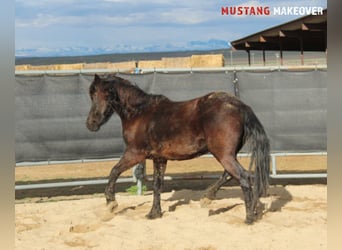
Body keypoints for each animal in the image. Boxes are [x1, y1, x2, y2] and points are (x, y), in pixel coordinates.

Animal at [85, 73, 270, 224]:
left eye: (95, 94)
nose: (91, 124)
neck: (139, 114)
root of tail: (239, 106)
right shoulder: (159, 158)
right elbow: (157, 185)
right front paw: (154, 213)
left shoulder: (135, 153)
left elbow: (114, 171)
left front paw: (111, 203)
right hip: (227, 154)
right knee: (229, 174)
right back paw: (209, 198)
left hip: (223, 155)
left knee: (243, 176)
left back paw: (248, 217)